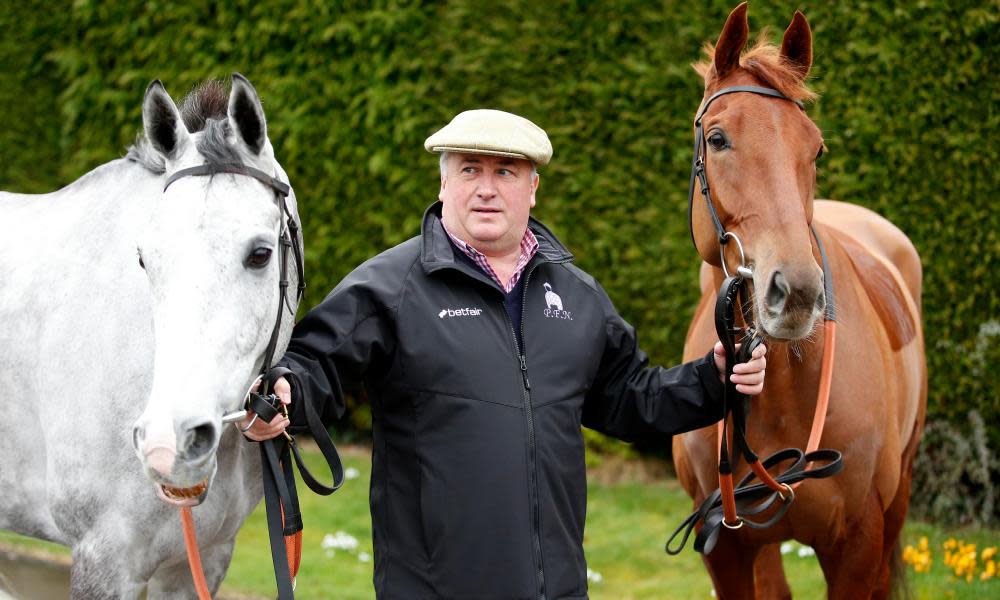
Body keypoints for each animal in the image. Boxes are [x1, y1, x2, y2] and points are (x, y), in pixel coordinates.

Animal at [672, 4, 928, 600]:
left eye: (816, 147)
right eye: (717, 139)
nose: (797, 294)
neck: (786, 387)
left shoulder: (857, 546)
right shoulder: (726, 550)